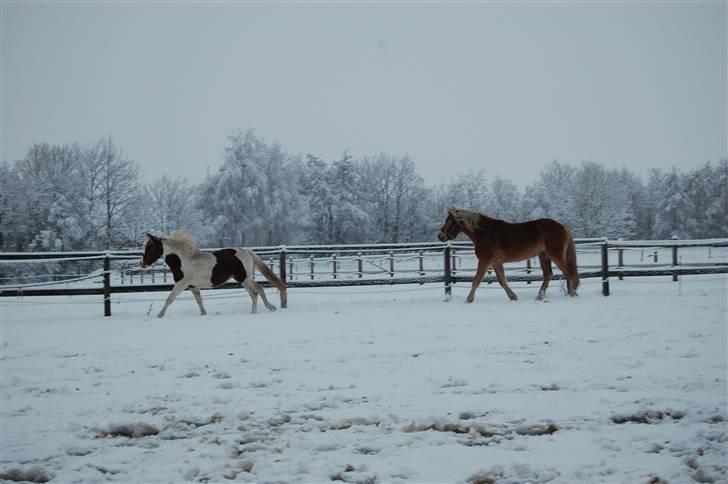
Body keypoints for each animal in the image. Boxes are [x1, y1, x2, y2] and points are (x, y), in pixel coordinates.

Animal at [139, 232, 288, 318]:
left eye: (150, 247)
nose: (141, 263)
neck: (182, 260)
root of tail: (247, 251)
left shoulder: (181, 283)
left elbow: (170, 299)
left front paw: (159, 315)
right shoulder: (193, 286)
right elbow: (199, 301)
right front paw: (203, 314)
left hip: (243, 278)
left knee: (254, 293)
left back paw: (254, 312)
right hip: (245, 278)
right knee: (259, 288)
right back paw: (270, 307)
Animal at [438, 208, 580, 302]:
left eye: (448, 221)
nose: (440, 236)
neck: (484, 233)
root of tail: (563, 226)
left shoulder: (484, 261)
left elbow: (476, 281)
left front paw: (469, 299)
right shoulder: (496, 262)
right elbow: (502, 281)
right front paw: (513, 297)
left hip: (555, 255)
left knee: (568, 272)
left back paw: (572, 293)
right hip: (544, 256)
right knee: (549, 274)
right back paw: (540, 296)